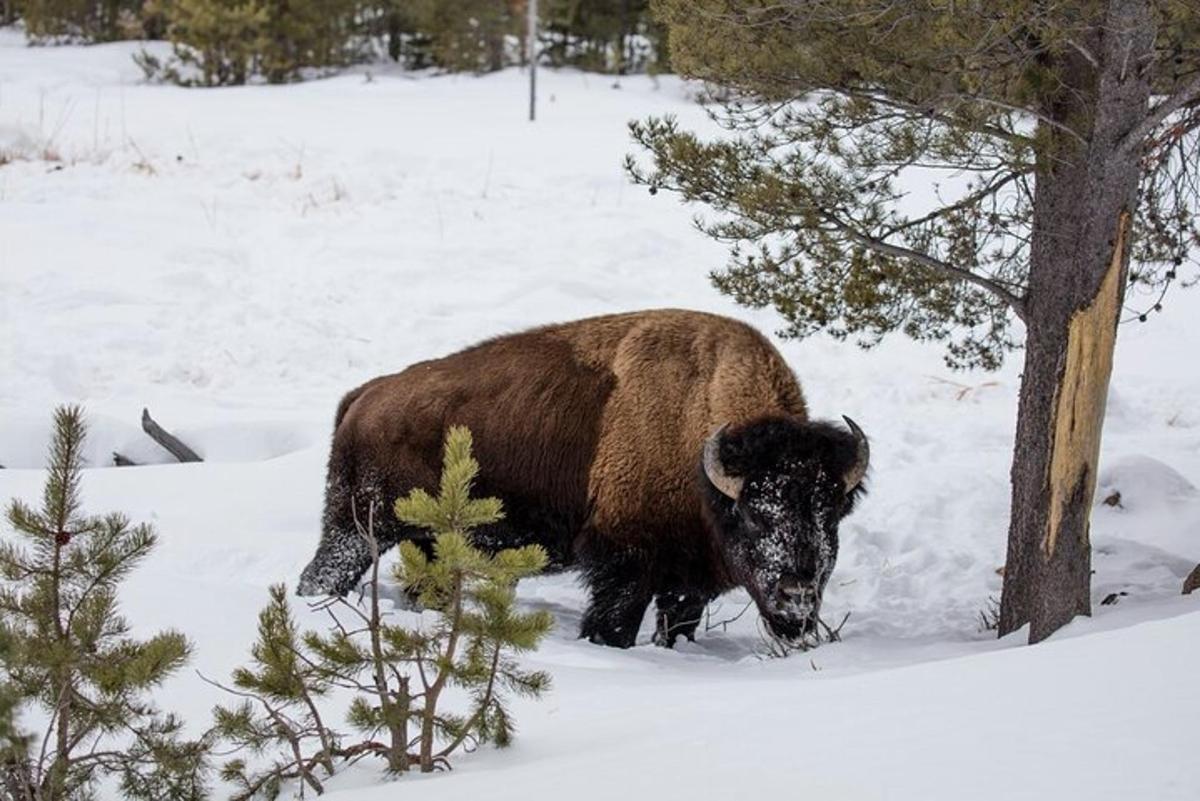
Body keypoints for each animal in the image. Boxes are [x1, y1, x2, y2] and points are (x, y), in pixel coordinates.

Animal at [295, 309, 868, 647]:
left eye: (830, 515)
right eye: (754, 514)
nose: (797, 599)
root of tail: (366, 395)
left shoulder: (688, 581)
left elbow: (676, 624)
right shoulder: (625, 562)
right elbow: (613, 623)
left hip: (428, 540)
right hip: (357, 527)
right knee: (322, 574)